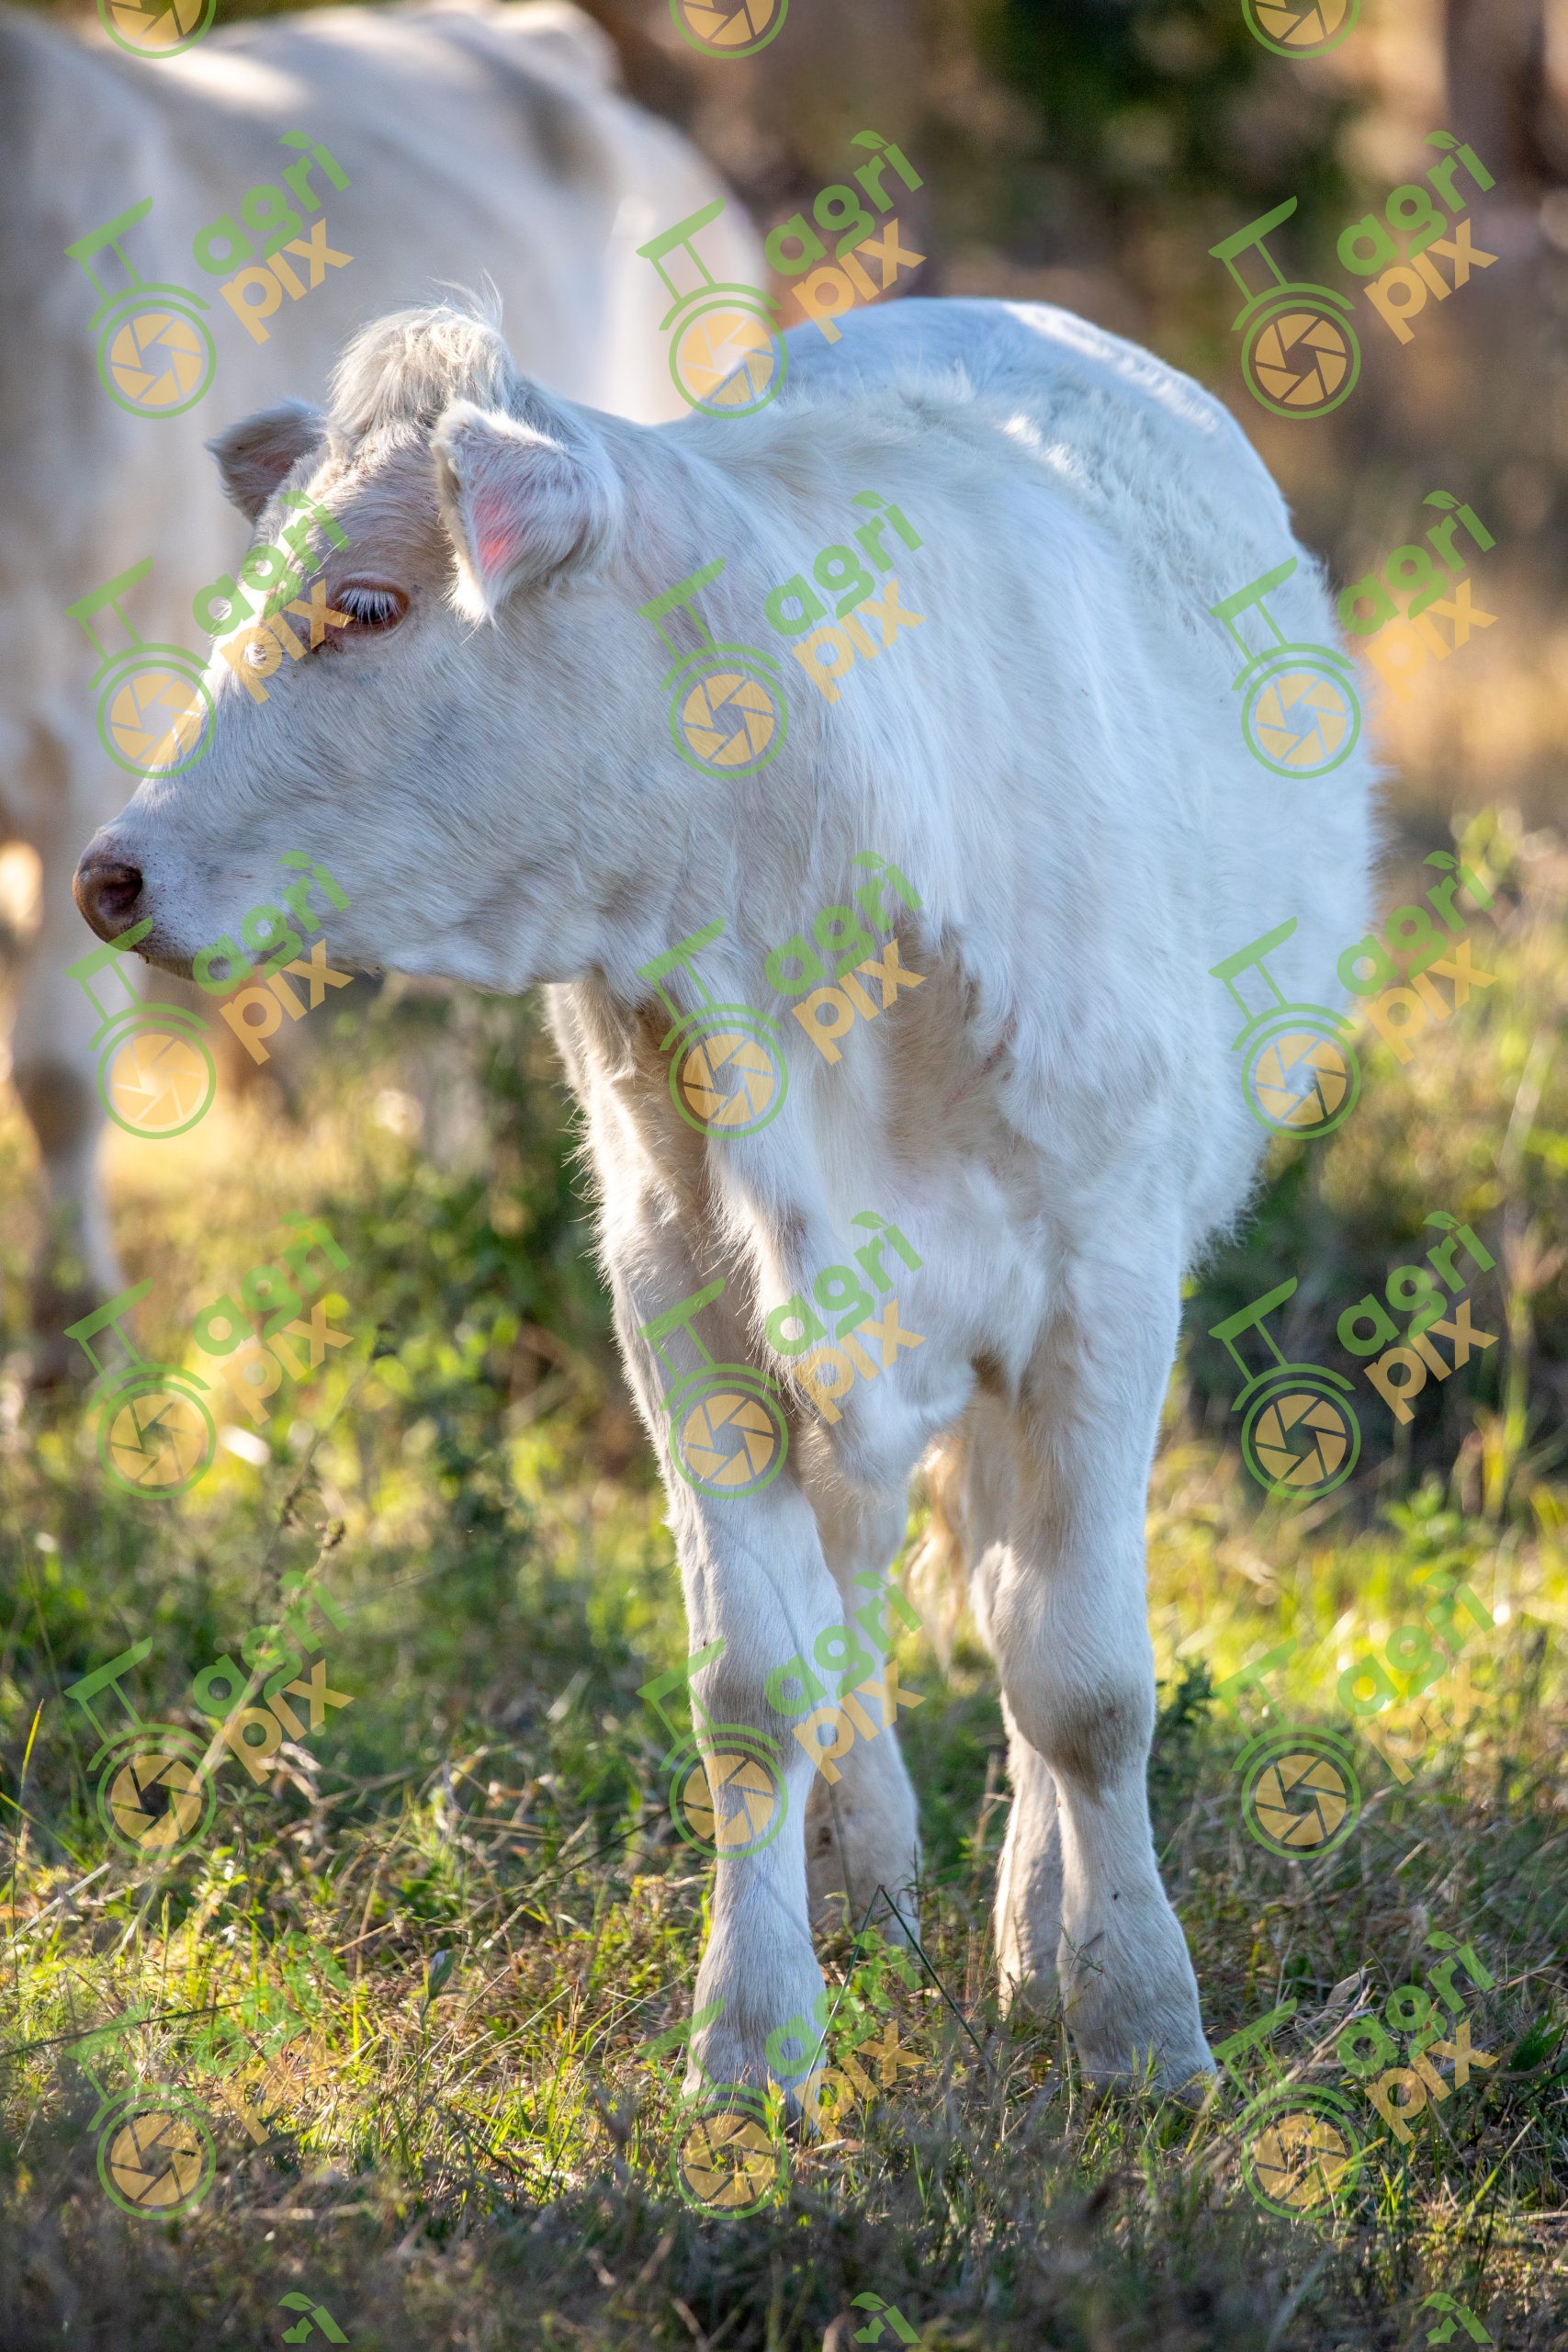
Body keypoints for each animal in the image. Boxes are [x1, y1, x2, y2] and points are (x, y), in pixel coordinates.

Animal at [71, 291, 1375, 2102]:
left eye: (367, 605)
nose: (109, 873)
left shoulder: (1104, 1284)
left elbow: (1085, 1685)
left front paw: (1136, 2024)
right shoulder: (677, 1285)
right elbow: (756, 1684)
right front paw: (754, 2034)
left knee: (1005, 1595)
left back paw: (1031, 1927)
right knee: (869, 1582)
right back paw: (872, 1883)